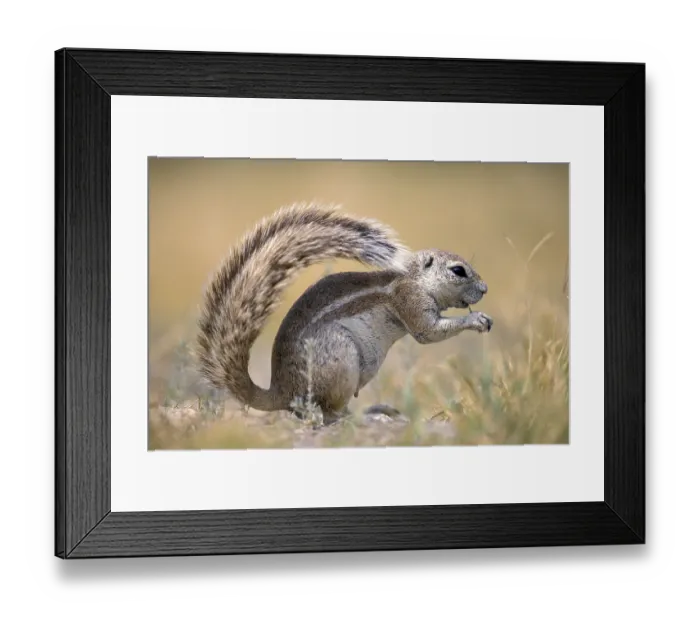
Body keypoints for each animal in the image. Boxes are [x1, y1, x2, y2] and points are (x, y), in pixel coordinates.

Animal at [197, 203, 492, 425]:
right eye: (458, 271)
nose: (485, 289)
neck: (415, 279)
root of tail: (281, 393)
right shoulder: (409, 300)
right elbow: (428, 332)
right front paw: (476, 320)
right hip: (341, 359)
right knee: (330, 416)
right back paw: (367, 418)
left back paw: (375, 410)